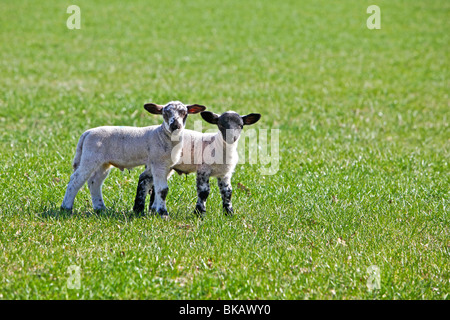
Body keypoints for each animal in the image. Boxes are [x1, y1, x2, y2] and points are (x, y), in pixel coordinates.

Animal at [60, 101, 207, 216]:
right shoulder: (158, 163)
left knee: (94, 182)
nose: (175, 125)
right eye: (165, 113)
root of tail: (87, 133)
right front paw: (163, 213)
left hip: (103, 163)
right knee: (76, 180)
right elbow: (162, 189)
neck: (162, 135)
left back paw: (100, 208)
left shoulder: (165, 165)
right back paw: (66, 208)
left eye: (184, 113)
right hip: (90, 158)